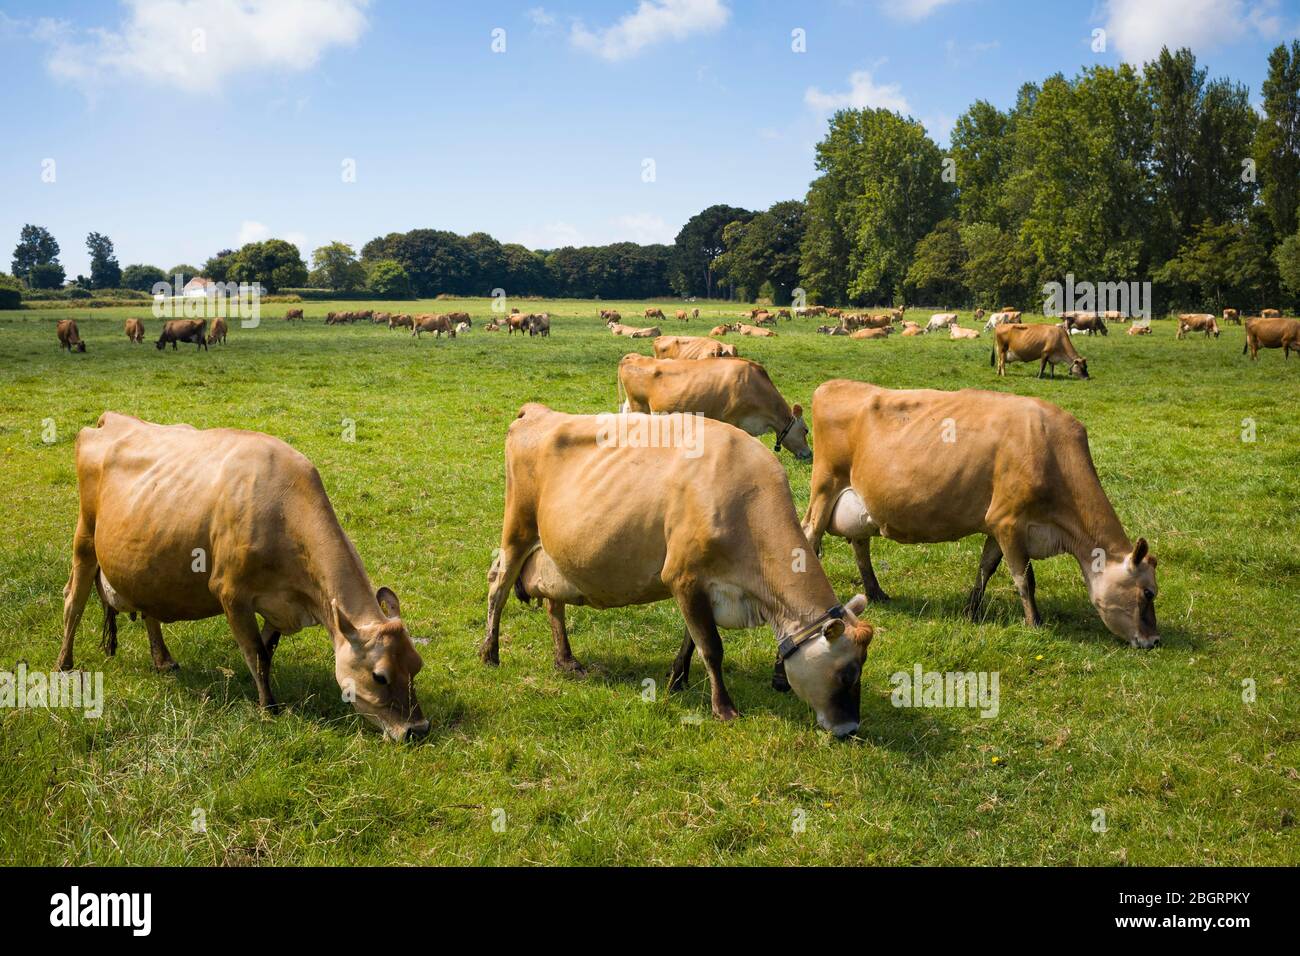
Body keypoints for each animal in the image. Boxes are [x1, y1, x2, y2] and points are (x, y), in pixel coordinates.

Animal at [58, 411, 428, 738]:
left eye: (417, 666)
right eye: (379, 676)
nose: (418, 729)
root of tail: (111, 419)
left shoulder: (279, 606)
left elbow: (267, 650)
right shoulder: (230, 593)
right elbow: (257, 654)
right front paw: (269, 709)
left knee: (149, 607)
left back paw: (163, 660)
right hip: (85, 537)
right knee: (73, 600)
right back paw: (64, 664)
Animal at [480, 403, 873, 733]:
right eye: (846, 674)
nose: (850, 728)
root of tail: (539, 411)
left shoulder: (698, 584)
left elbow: (692, 638)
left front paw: (677, 679)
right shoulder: (682, 576)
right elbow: (711, 646)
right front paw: (724, 708)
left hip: (556, 551)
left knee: (553, 602)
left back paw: (565, 659)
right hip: (517, 527)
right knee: (498, 584)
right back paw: (489, 652)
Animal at [800, 382, 1159, 650]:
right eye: (1148, 593)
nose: (1154, 641)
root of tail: (833, 385)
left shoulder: (996, 524)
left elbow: (986, 568)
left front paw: (971, 610)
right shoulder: (1010, 522)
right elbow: (1024, 578)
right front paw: (1034, 623)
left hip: (859, 504)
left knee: (860, 543)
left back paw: (876, 592)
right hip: (825, 485)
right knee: (809, 535)